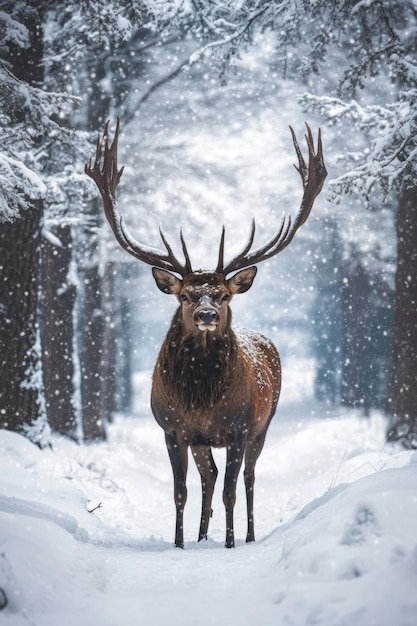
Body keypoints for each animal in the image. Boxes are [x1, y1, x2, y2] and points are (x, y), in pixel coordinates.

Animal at [83, 117, 324, 544]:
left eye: (224, 294)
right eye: (185, 295)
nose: (207, 314)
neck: (201, 399)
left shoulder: (239, 429)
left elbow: (231, 490)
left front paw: (229, 542)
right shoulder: (173, 428)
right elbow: (181, 491)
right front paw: (180, 543)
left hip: (264, 424)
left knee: (248, 478)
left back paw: (246, 535)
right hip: (201, 440)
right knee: (208, 476)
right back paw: (199, 536)